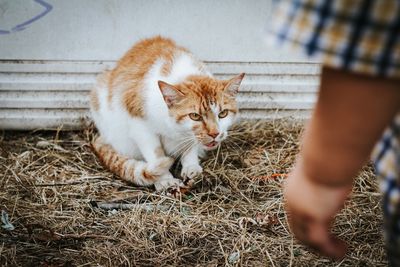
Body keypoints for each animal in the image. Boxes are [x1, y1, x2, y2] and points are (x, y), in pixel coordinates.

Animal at [90, 36, 244, 193]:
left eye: (223, 113)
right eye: (195, 116)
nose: (214, 133)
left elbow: (190, 147)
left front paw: (191, 167)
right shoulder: (140, 126)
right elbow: (156, 155)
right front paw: (165, 180)